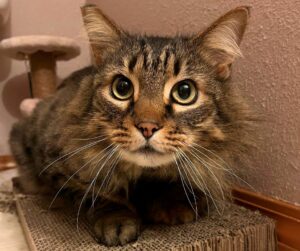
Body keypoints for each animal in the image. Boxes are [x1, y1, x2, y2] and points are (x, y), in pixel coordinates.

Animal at [11, 4, 255, 247]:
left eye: (184, 92)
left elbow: (180, 185)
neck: (145, 176)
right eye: (122, 87)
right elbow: (97, 192)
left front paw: (175, 204)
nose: (147, 127)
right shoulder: (54, 163)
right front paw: (116, 220)